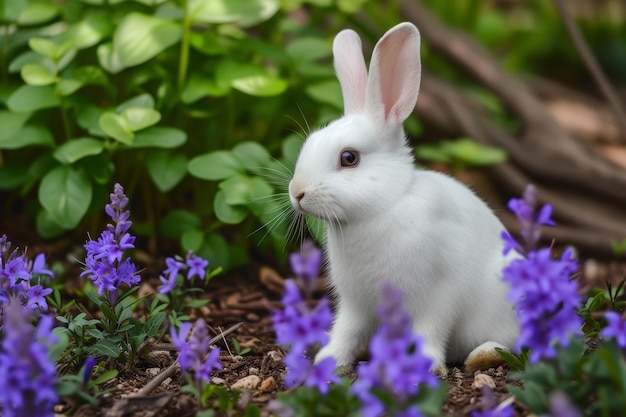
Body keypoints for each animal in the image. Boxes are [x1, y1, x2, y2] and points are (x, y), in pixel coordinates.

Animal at [288, 22, 516, 374]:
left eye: (349, 158)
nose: (297, 192)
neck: (382, 208)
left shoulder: (438, 297)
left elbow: (429, 332)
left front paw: (428, 368)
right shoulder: (356, 303)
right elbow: (346, 331)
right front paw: (328, 361)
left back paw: (483, 355)